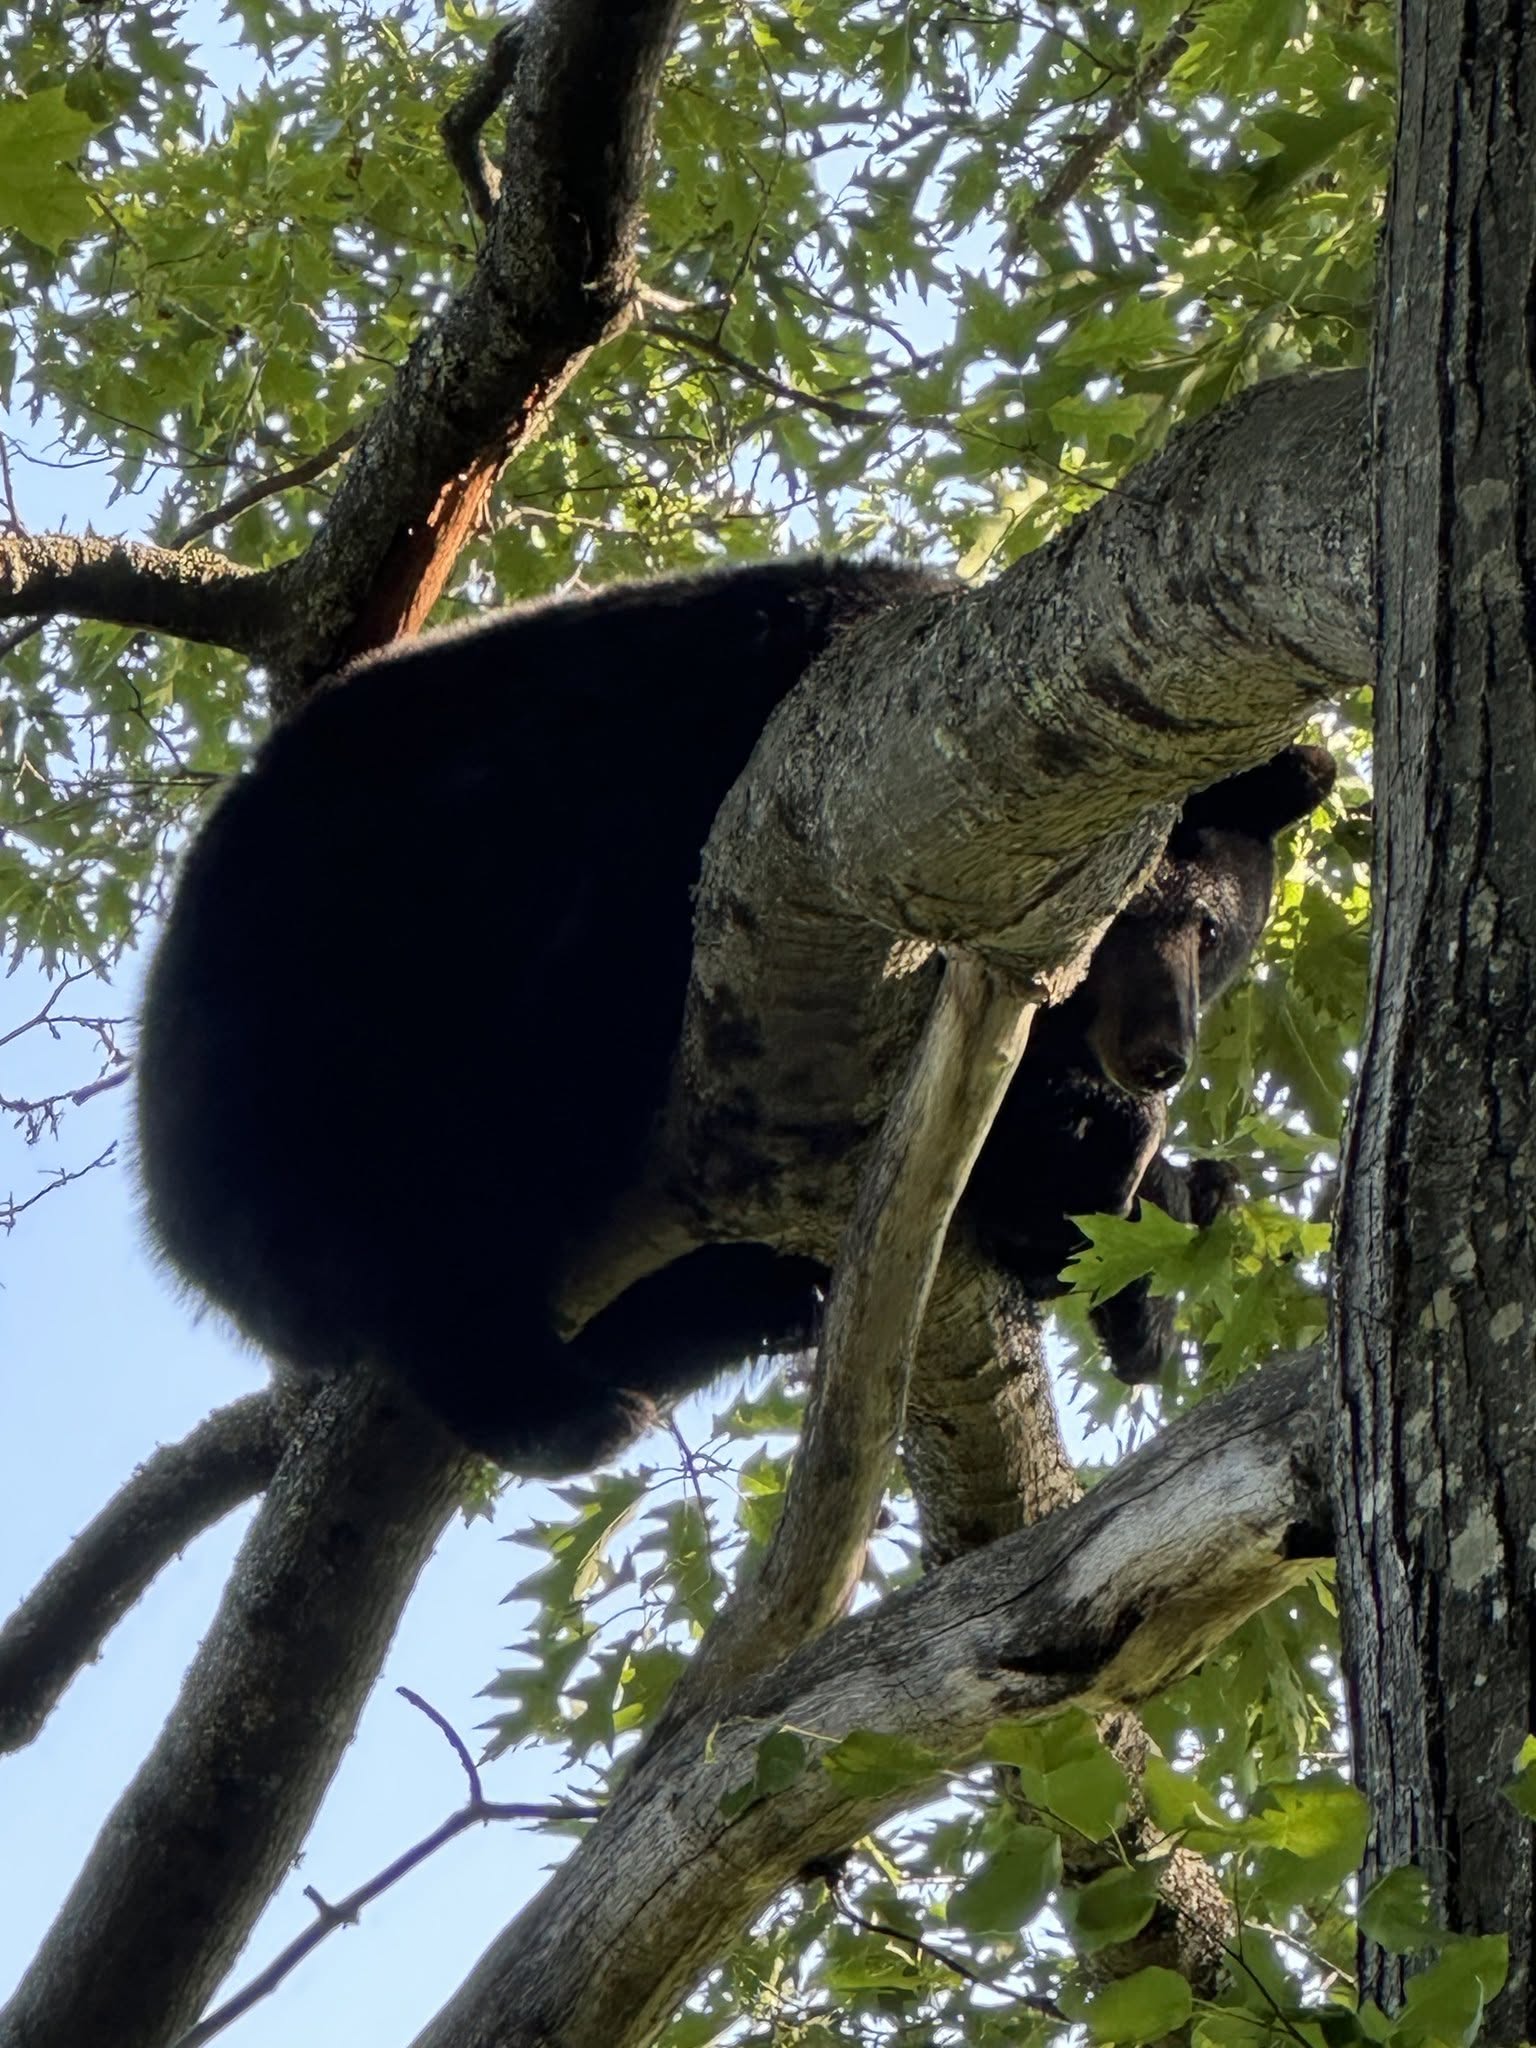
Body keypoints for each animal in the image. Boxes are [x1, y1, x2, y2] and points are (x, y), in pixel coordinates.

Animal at [134, 554, 1333, 1472]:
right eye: (1155, 914)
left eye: (1218, 939)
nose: (1163, 1054)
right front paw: (1078, 1159)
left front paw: (1147, 1216)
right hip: (337, 1009)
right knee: (426, 1217)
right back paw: (553, 1398)